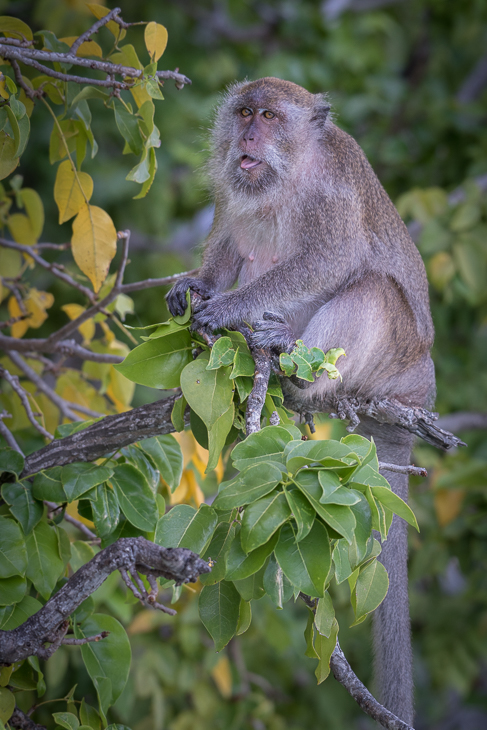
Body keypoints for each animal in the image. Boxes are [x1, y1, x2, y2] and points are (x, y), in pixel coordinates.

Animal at [167, 75, 434, 724]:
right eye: (243, 112)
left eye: (269, 116)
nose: (248, 135)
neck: (287, 176)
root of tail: (421, 382)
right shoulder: (234, 190)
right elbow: (228, 242)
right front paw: (198, 285)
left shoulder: (330, 195)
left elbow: (332, 258)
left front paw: (227, 308)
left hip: (394, 356)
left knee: (370, 288)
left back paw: (291, 365)